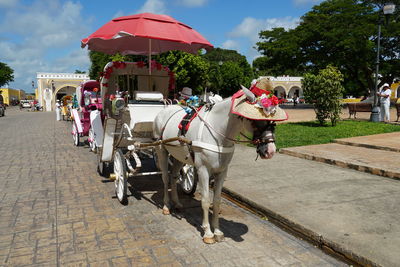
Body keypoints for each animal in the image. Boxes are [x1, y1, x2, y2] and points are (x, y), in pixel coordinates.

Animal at [152, 86, 276, 245]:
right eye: (256, 121)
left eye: (274, 123)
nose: (270, 151)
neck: (217, 134)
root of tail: (164, 110)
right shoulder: (203, 170)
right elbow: (205, 200)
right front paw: (208, 233)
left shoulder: (222, 171)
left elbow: (216, 201)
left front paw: (217, 231)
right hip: (161, 150)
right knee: (166, 178)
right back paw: (167, 206)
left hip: (178, 154)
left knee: (174, 176)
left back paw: (177, 203)